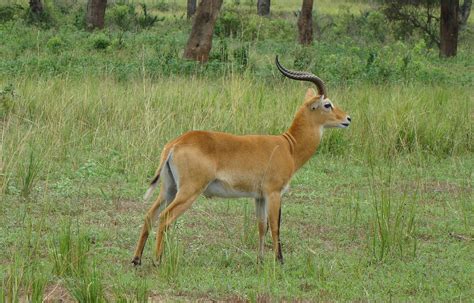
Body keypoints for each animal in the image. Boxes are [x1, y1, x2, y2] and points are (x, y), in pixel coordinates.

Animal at [131, 56, 350, 266]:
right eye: (327, 104)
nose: (348, 118)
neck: (289, 146)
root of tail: (176, 143)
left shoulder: (259, 196)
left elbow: (261, 226)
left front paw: (260, 260)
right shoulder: (274, 193)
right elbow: (275, 226)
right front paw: (279, 261)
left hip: (169, 189)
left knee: (150, 215)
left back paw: (136, 259)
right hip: (188, 191)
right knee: (164, 218)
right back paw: (157, 260)